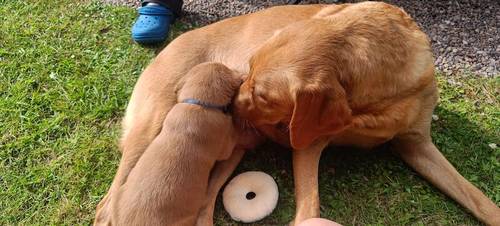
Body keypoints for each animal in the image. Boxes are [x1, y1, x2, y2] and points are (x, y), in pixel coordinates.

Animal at [234, 2, 500, 226]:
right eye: (249, 67)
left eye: (262, 97)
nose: (230, 104)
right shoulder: (309, 142)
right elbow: (310, 207)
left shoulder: (417, 144)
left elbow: (478, 198)